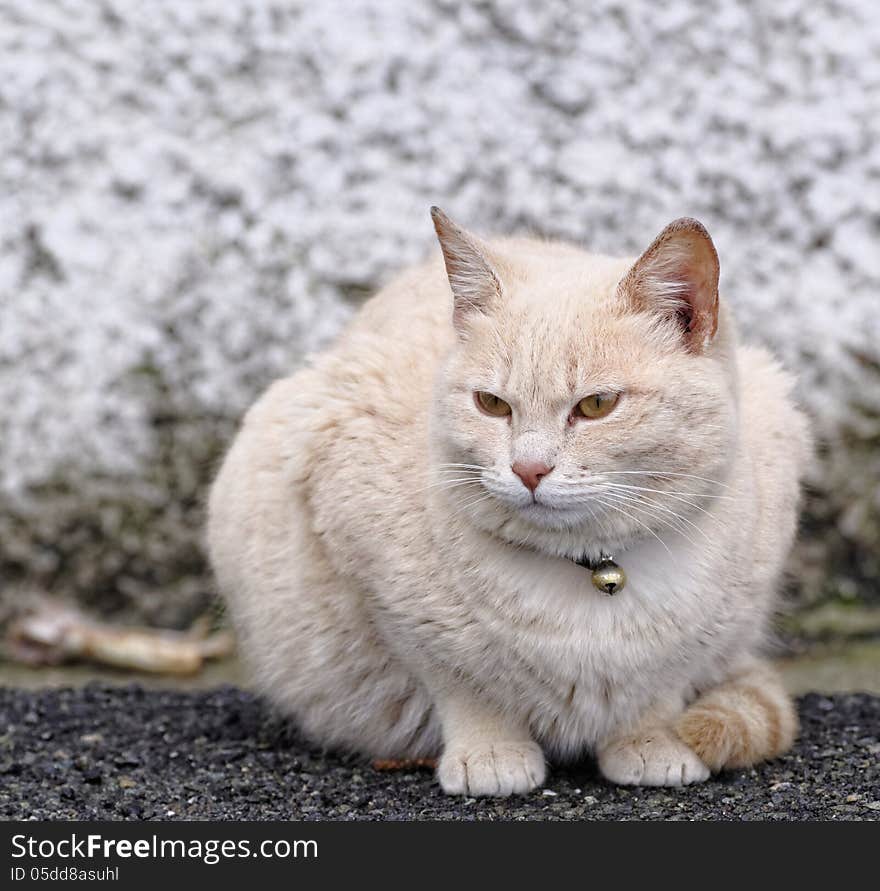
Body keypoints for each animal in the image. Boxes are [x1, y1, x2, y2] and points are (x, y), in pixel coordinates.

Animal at [208, 207, 812, 796]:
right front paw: (491, 755)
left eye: (596, 405)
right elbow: (465, 688)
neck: (592, 569)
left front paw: (649, 745)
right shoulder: (381, 587)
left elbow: (658, 693)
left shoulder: (700, 641)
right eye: (492, 404)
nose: (528, 469)